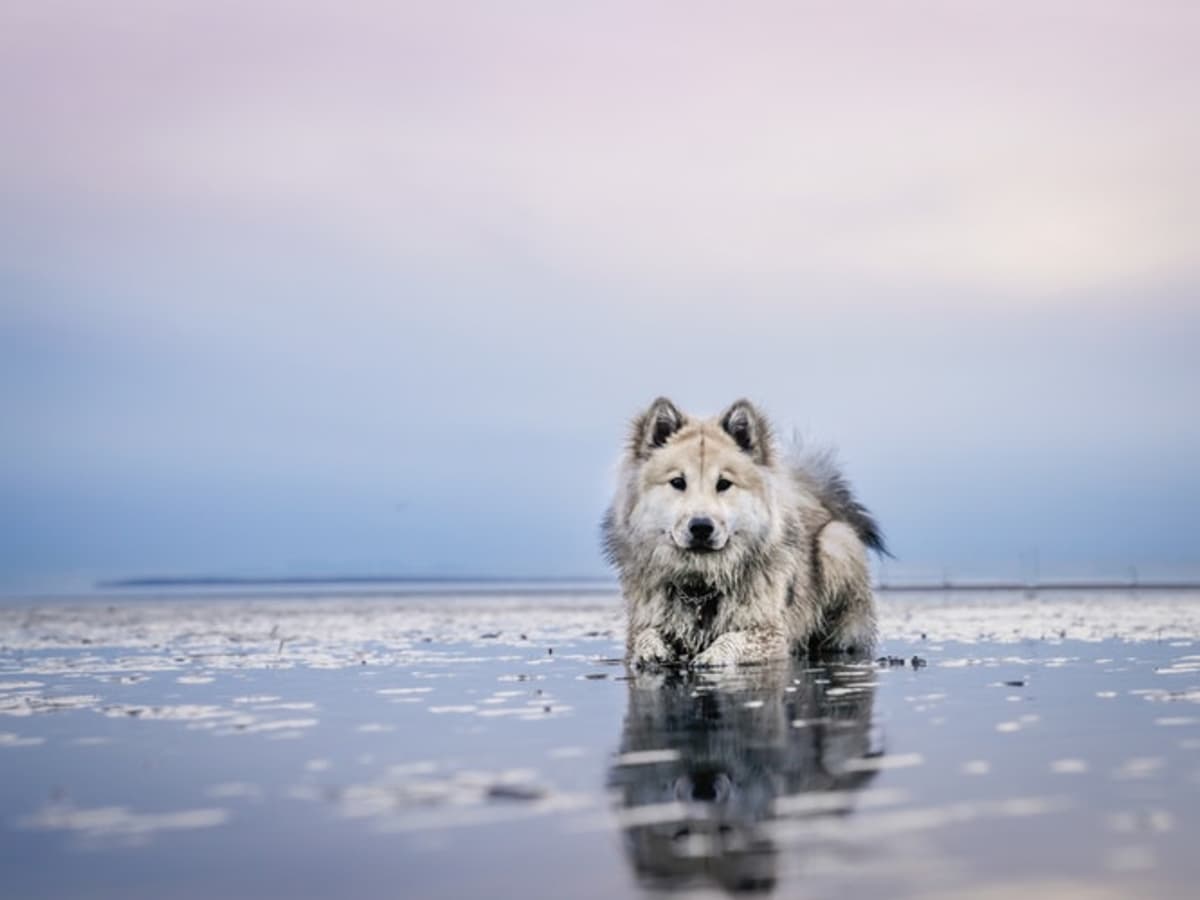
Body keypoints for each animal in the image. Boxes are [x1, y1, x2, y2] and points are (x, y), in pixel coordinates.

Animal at [604, 398, 888, 667]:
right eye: (677, 482)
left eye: (723, 484)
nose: (701, 526)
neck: (700, 588)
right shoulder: (642, 623)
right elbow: (644, 636)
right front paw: (651, 651)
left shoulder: (769, 632)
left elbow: (733, 639)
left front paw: (712, 656)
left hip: (836, 543)